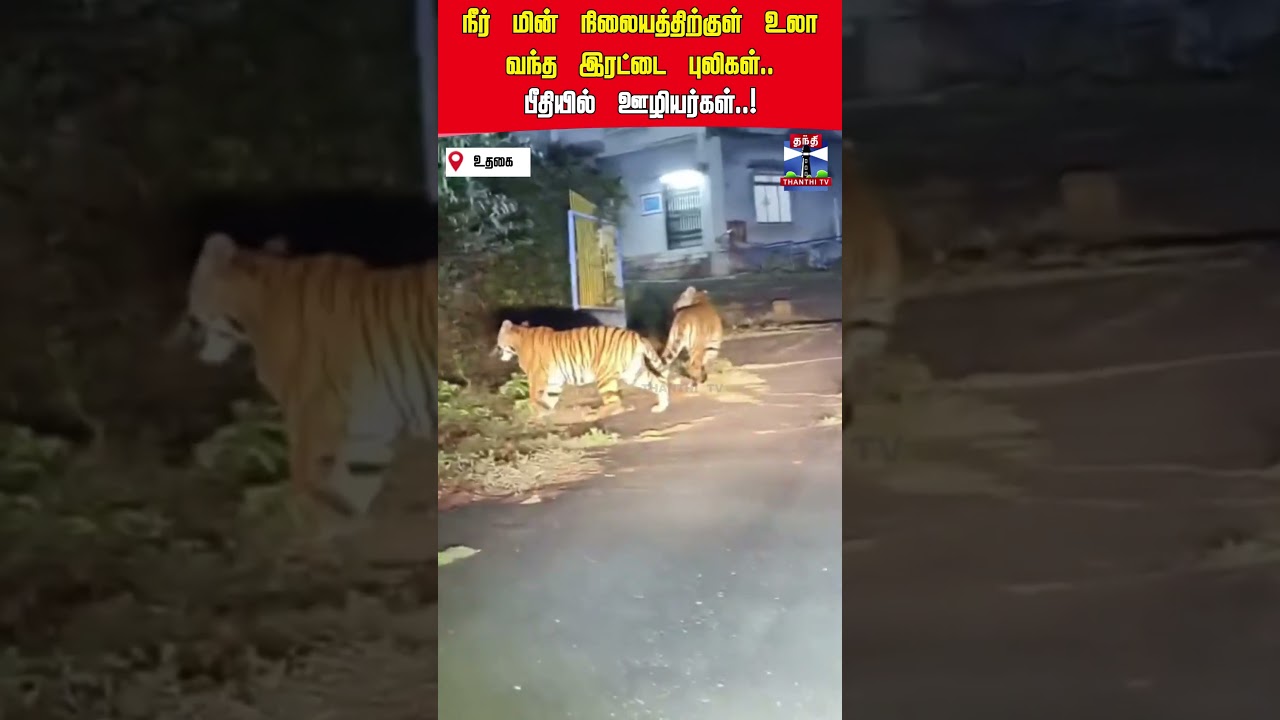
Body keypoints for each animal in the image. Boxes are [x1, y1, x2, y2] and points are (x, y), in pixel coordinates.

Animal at [176, 232, 436, 517]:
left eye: (193, 285)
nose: (187, 315)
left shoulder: (311, 424)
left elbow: (304, 495)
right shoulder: (367, 428)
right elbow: (343, 497)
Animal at [493, 321, 669, 417]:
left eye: (499, 338)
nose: (497, 348)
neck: (519, 340)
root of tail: (636, 335)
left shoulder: (537, 377)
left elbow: (534, 397)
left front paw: (536, 413)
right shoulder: (554, 380)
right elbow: (549, 397)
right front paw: (545, 413)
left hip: (604, 376)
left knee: (615, 402)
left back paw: (593, 415)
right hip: (633, 372)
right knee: (658, 384)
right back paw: (662, 407)